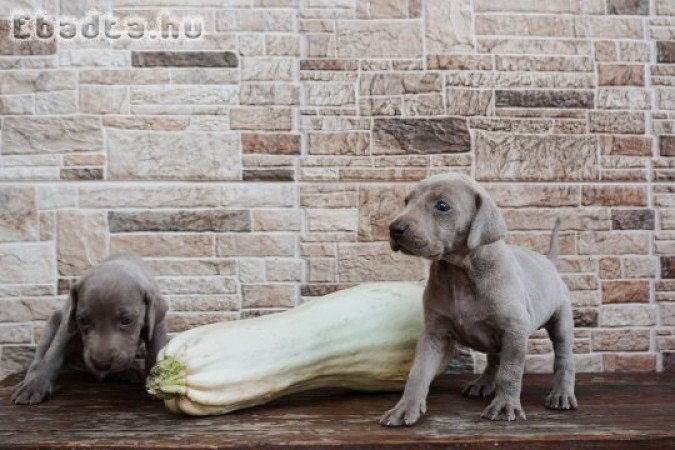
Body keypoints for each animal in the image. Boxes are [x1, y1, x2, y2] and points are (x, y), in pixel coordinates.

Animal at [12, 253, 168, 404]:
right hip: (52, 324)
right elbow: (53, 354)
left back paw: (132, 370)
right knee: (40, 356)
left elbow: (155, 350)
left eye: (127, 320)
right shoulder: (68, 326)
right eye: (83, 320)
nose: (101, 363)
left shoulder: (157, 324)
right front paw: (34, 386)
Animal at [380, 172, 576, 426]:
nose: (394, 228)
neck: (460, 272)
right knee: (494, 359)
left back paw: (561, 394)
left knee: (564, 357)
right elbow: (419, 371)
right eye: (406, 201)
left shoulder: (515, 330)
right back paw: (483, 384)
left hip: (561, 319)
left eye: (442, 206)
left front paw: (505, 406)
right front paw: (404, 408)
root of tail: (548, 261)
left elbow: (510, 372)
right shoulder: (434, 333)